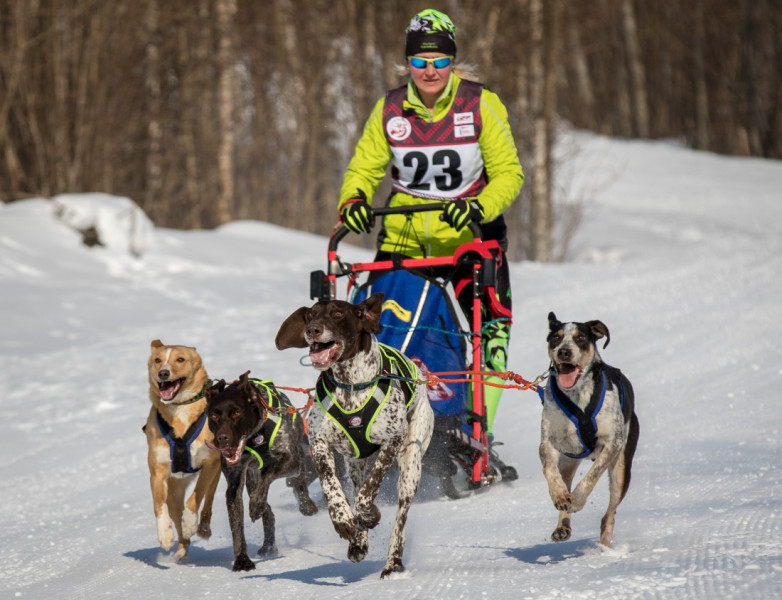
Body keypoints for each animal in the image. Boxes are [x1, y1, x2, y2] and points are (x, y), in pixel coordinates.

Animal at [144, 340, 222, 560]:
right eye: (157, 360)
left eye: (180, 359)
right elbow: (158, 505)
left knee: (208, 500)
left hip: (217, 472)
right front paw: (164, 534)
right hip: (173, 492)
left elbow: (196, 496)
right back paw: (180, 549)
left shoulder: (210, 463)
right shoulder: (157, 472)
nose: (163, 373)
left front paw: (190, 522)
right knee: (176, 517)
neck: (179, 409)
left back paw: (200, 527)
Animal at [276, 292, 434, 580]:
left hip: (411, 463)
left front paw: (368, 514)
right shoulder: (319, 444)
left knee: (400, 518)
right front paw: (344, 520)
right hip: (354, 463)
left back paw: (393, 562)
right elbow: (331, 485)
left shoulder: (392, 442)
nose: (312, 330)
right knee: (357, 484)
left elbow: (368, 492)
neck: (350, 385)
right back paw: (358, 542)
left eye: (338, 314)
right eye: (311, 314)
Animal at [540, 314, 644, 548]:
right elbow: (549, 468)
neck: (576, 395)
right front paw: (559, 495)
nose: (564, 352)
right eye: (556, 338)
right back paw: (562, 526)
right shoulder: (548, 441)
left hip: (621, 469)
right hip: (569, 461)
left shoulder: (612, 443)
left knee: (610, 513)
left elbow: (591, 477)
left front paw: (578, 500)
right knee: (566, 479)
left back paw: (605, 544)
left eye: (580, 338)